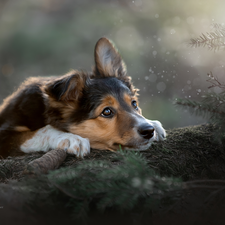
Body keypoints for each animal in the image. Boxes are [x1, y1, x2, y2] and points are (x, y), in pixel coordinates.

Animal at [0, 37, 165, 158]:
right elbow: (39, 132)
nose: (149, 131)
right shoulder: (5, 135)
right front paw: (70, 138)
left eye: (134, 104)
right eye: (106, 111)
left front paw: (154, 123)